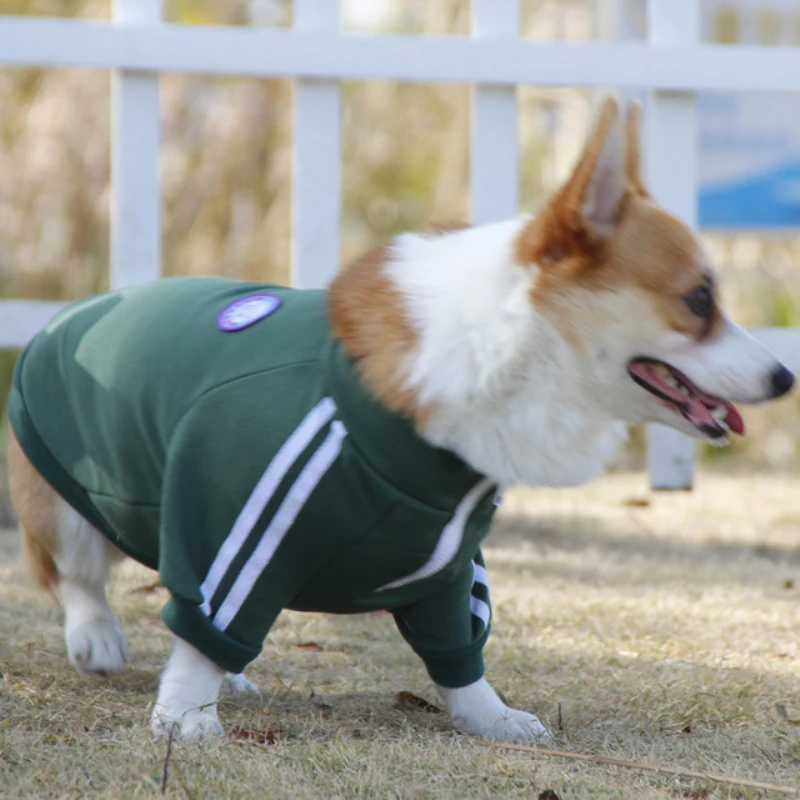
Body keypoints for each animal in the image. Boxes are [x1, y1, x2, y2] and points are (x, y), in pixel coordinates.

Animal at [7, 98, 792, 744]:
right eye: (698, 300)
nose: (786, 378)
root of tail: (81, 308)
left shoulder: (448, 564)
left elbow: (459, 651)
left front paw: (489, 718)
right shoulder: (233, 524)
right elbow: (207, 626)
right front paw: (187, 718)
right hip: (71, 507)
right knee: (76, 574)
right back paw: (99, 639)